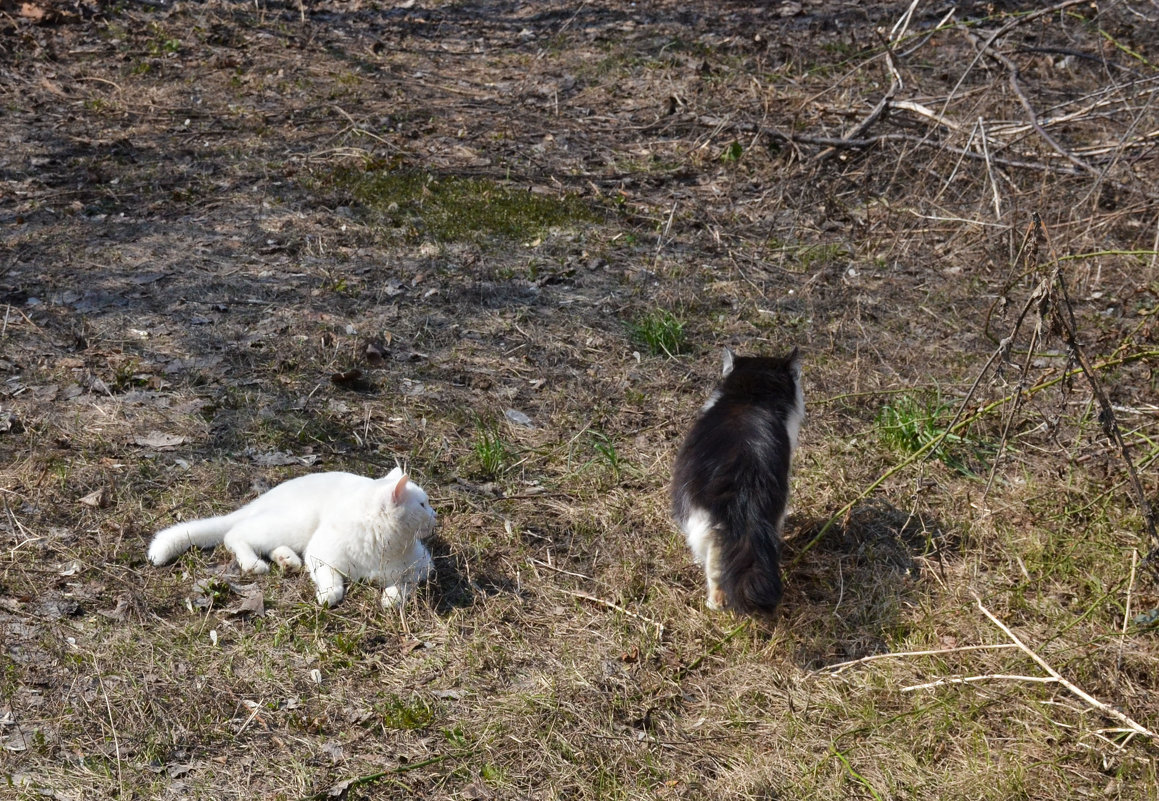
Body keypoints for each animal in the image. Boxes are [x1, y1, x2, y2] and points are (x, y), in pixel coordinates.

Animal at [144, 463, 435, 607]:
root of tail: (264, 497)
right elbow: (331, 579)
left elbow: (405, 584)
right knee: (235, 533)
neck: (384, 542)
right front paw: (329, 594)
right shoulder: (321, 553)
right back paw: (254, 564)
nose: (435, 515)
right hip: (298, 522)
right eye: (422, 504)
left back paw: (288, 561)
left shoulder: (423, 567)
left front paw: (390, 597)